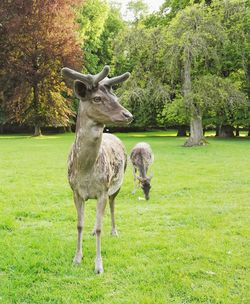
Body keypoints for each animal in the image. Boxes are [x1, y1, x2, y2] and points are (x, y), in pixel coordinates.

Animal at [61, 65, 133, 274]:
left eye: (115, 97)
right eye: (97, 98)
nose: (128, 115)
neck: (85, 171)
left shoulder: (102, 190)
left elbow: (101, 227)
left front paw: (98, 265)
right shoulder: (75, 191)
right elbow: (79, 224)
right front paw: (77, 258)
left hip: (116, 186)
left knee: (113, 206)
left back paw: (114, 230)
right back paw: (92, 230)